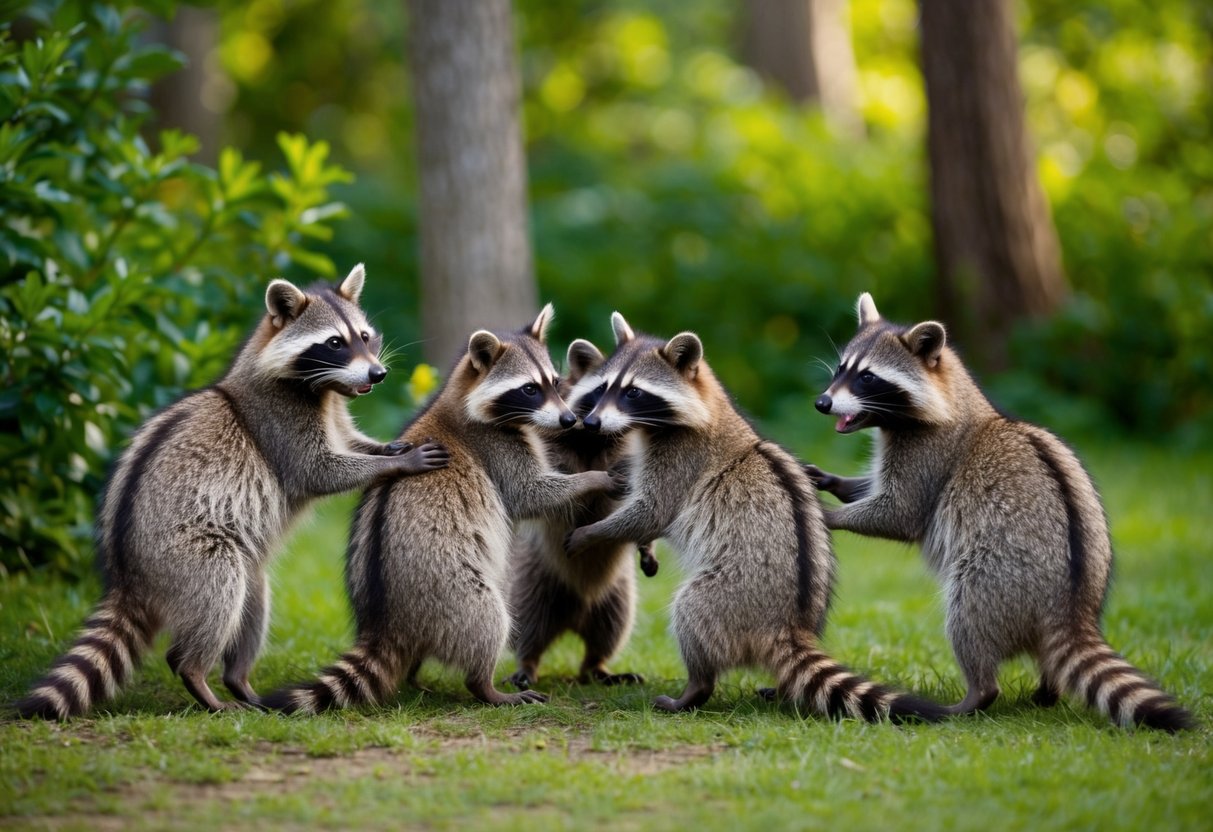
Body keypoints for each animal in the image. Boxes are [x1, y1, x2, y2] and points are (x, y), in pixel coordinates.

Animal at [15, 265, 448, 719]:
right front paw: (397, 462)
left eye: (364, 336)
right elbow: (319, 472)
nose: (377, 374)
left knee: (252, 599)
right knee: (217, 596)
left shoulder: (334, 412)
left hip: (236, 567)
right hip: (186, 556)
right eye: (334, 343)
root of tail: (127, 577)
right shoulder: (277, 423)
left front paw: (386, 448)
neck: (321, 389)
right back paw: (196, 674)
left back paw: (239, 679)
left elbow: (350, 443)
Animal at [263, 305, 624, 713]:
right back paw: (484, 685)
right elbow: (529, 495)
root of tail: (388, 624)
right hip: (451, 589)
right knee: (487, 619)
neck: (458, 397)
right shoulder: (495, 448)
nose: (568, 420)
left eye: (554, 381)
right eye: (530, 389)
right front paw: (594, 478)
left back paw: (415, 676)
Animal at [506, 334, 657, 691]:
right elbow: (551, 488)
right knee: (528, 623)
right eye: (599, 391)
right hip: (534, 578)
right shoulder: (552, 446)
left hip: (616, 593)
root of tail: (574, 616)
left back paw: (597, 666)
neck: (594, 439)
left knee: (610, 629)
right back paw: (527, 661)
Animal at [564, 313, 944, 722]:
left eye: (633, 392)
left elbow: (651, 511)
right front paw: (642, 545)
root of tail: (787, 625)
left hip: (730, 593)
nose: (591, 422)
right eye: (603, 387)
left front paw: (592, 533)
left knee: (692, 609)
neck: (707, 409)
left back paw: (696, 687)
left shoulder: (680, 459)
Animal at [808, 292, 1194, 731]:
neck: (951, 399)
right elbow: (875, 490)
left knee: (968, 614)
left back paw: (975, 694)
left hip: (999, 576)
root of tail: (1071, 610)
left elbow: (900, 513)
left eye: (868, 378)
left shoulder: (930, 456)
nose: (822, 403)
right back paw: (1048, 688)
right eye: (842, 369)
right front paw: (836, 484)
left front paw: (830, 514)